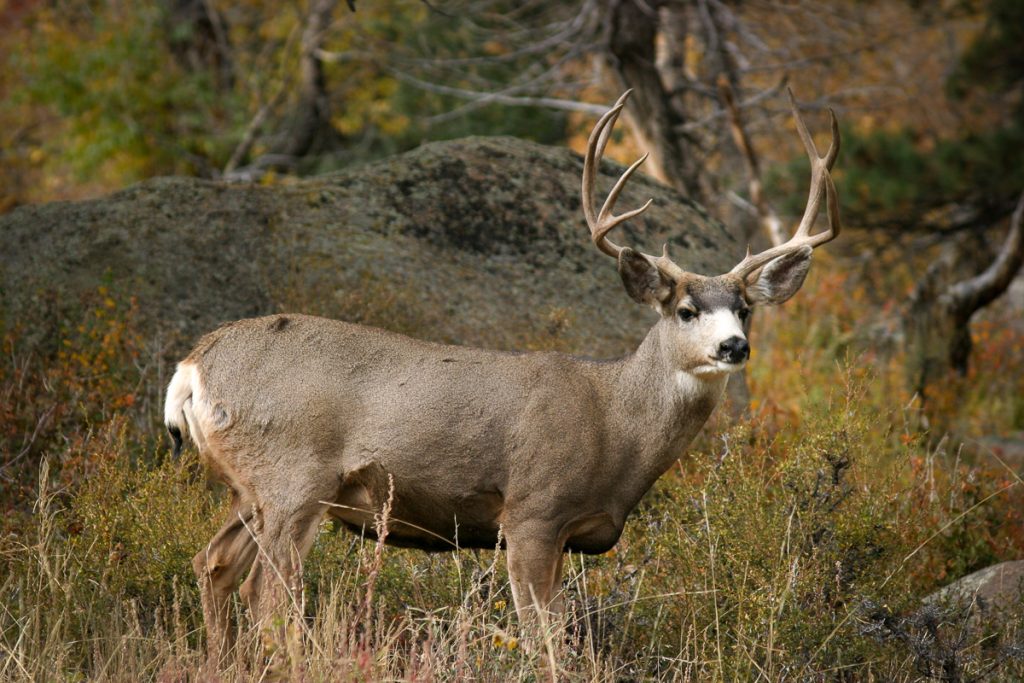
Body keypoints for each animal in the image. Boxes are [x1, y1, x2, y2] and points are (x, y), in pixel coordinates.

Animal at [164, 89, 841, 663]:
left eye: (745, 308)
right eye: (686, 310)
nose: (734, 346)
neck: (615, 427)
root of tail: (193, 366)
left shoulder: (565, 534)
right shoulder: (531, 510)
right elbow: (542, 635)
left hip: (248, 488)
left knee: (212, 564)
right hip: (294, 478)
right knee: (265, 592)